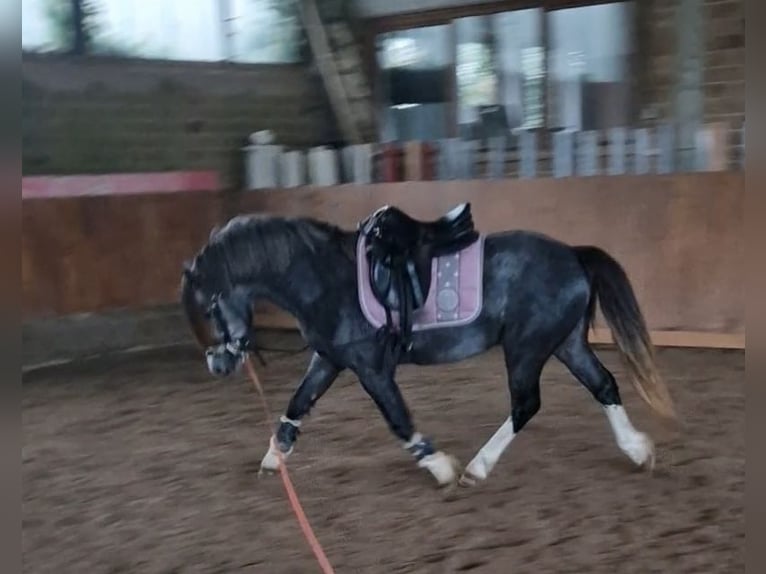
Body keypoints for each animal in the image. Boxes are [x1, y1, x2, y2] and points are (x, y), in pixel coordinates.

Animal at [180, 205, 676, 488]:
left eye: (209, 307)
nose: (217, 364)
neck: (323, 279)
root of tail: (573, 254)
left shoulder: (370, 367)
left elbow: (398, 418)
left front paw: (438, 465)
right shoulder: (331, 359)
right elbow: (298, 404)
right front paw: (272, 459)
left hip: (527, 347)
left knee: (526, 404)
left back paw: (477, 468)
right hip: (564, 343)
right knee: (604, 385)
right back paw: (637, 450)